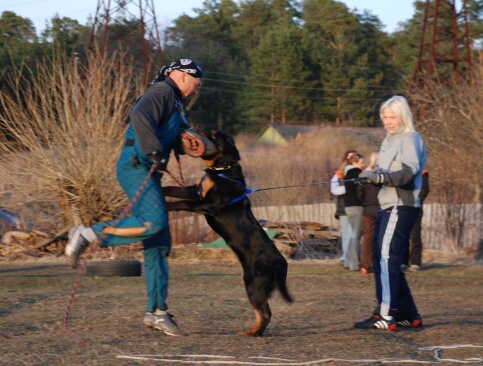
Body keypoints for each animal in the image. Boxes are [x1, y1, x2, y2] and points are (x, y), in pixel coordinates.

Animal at [163, 130, 294, 336]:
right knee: (265, 312)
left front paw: (166, 205)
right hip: (250, 280)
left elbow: (181, 203)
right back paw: (253, 331)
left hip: (255, 285)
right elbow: (173, 189)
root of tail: (281, 262)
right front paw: (160, 189)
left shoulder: (208, 204)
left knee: (265, 313)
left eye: (214, 135)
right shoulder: (195, 192)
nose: (196, 129)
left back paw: (251, 333)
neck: (221, 170)